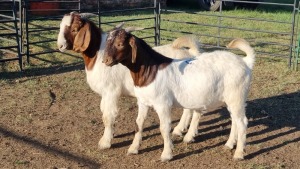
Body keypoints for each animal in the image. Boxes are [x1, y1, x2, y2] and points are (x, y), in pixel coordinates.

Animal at [103, 28, 255, 162]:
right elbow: (138, 124)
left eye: (120, 44)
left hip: (236, 96)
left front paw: (166, 154)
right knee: (235, 120)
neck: (151, 71)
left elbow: (164, 128)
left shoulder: (162, 104)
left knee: (242, 122)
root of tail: (245, 63)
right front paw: (133, 149)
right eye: (107, 42)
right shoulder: (142, 101)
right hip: (233, 100)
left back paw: (239, 153)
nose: (105, 61)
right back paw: (229, 144)